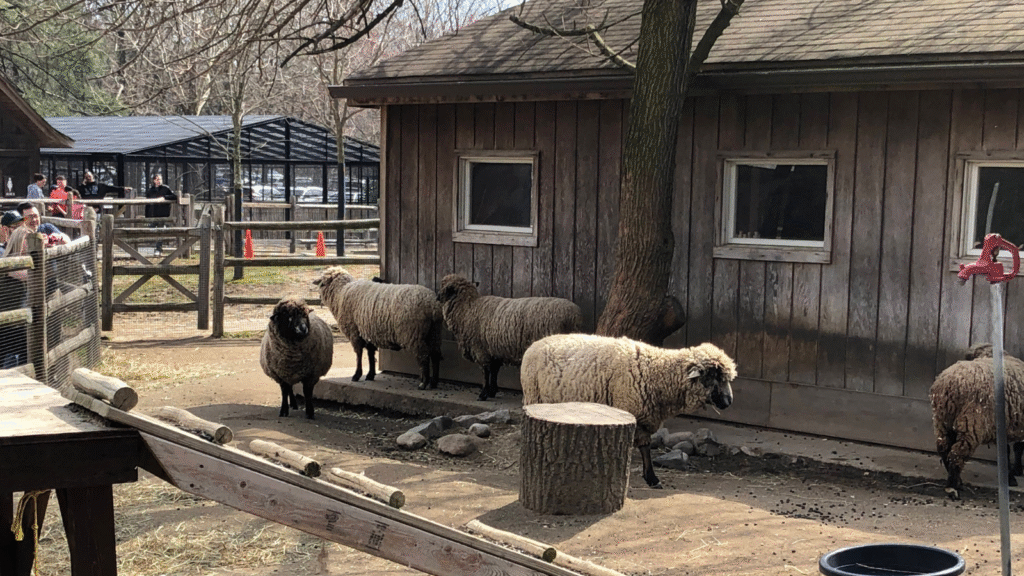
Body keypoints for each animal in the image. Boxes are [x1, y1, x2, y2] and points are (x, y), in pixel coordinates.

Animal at [436, 273, 582, 401]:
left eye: (443, 288)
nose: (436, 297)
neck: (467, 308)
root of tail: (573, 316)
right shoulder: (494, 351)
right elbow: (494, 371)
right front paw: (492, 391)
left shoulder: (481, 349)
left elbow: (485, 372)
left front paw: (483, 394)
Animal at [520, 333, 737, 488]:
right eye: (714, 376)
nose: (729, 402)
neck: (656, 373)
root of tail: (535, 344)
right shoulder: (629, 411)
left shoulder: (644, 418)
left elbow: (645, 447)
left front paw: (651, 479)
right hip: (534, 396)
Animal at [931, 343, 1024, 498]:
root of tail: (948, 384)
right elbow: (1016, 449)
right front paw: (1014, 475)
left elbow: (1008, 451)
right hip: (971, 423)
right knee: (957, 453)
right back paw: (952, 487)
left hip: (943, 421)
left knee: (944, 448)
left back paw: (957, 481)